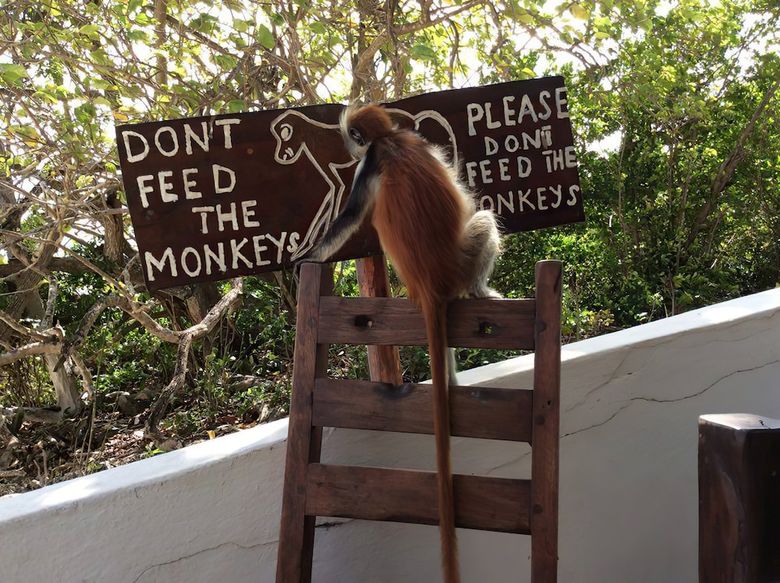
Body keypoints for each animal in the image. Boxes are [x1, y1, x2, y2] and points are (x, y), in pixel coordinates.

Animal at [298, 103, 501, 583]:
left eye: (350, 137)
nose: (346, 147)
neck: (389, 141)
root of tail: (428, 285)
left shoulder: (372, 162)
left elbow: (350, 215)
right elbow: (352, 216)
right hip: (465, 261)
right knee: (483, 219)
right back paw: (481, 291)